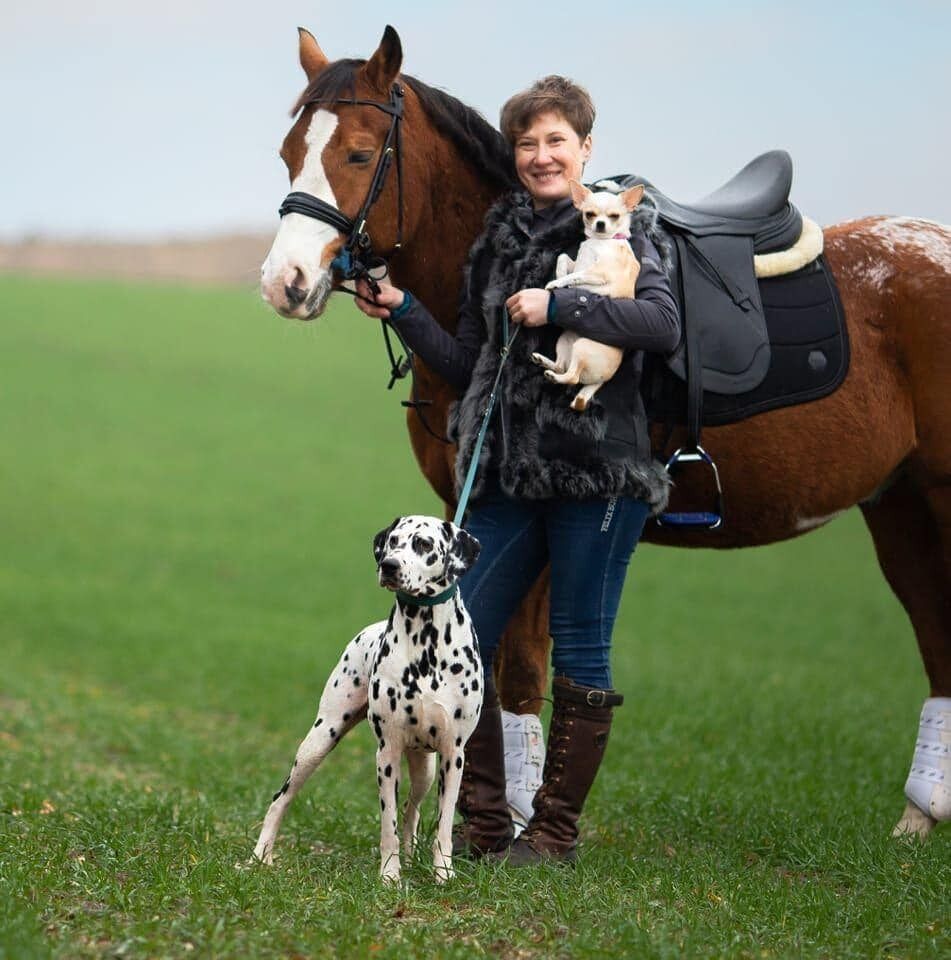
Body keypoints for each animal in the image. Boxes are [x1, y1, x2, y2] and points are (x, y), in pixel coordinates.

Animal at [251, 516, 484, 884]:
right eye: (393, 541)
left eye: (423, 544)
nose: (389, 565)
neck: (425, 644)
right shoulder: (386, 753)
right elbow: (388, 824)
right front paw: (389, 876)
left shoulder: (453, 754)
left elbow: (443, 826)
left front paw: (443, 874)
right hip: (319, 741)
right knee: (281, 798)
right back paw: (261, 855)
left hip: (426, 769)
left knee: (412, 810)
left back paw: (412, 855)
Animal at [258, 20, 951, 832]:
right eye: (289, 152)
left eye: (361, 153)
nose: (283, 283)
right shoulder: (475, 512)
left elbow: (521, 671)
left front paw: (517, 815)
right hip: (899, 503)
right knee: (934, 630)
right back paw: (919, 818)